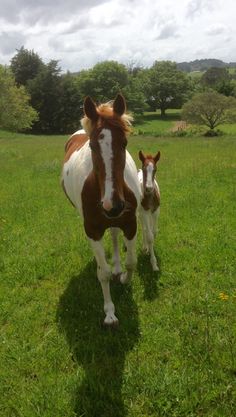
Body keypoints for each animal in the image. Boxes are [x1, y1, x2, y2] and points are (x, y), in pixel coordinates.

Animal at [61, 93, 141, 324]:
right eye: (93, 146)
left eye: (124, 143)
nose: (112, 205)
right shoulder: (93, 230)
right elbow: (102, 273)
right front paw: (110, 312)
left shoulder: (130, 223)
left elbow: (131, 262)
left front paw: (123, 277)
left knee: (114, 235)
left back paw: (117, 267)